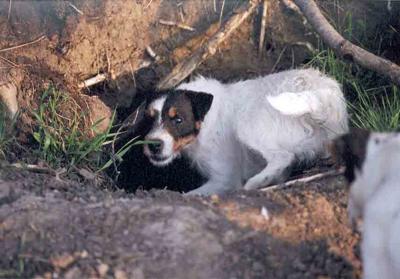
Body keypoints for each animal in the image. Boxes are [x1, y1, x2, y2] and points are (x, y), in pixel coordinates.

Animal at [143, 68, 346, 195]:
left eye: (178, 120)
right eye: (149, 118)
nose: (153, 145)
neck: (206, 121)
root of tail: (325, 98)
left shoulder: (225, 179)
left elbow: (188, 195)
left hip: (246, 123)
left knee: (283, 156)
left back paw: (257, 182)